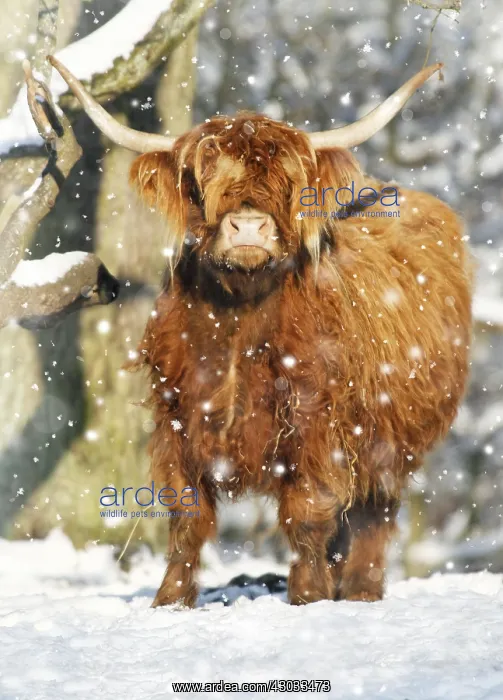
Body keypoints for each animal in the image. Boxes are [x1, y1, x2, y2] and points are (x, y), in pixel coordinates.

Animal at [50, 56, 473, 608]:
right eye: (202, 177)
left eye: (288, 180)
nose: (248, 228)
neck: (239, 316)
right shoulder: (176, 416)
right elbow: (186, 514)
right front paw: (170, 600)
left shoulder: (317, 419)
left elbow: (309, 509)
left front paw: (308, 596)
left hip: (390, 440)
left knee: (372, 512)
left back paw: (360, 590)